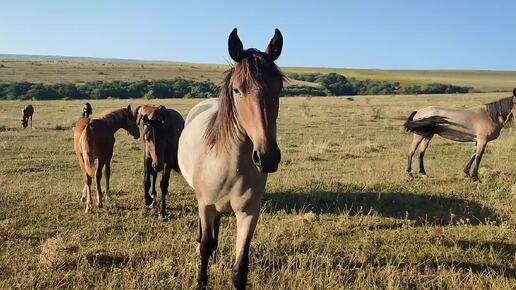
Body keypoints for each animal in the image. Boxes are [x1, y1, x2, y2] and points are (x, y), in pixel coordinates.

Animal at [176, 28, 282, 288]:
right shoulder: (205, 205)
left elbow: (240, 269)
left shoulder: (249, 213)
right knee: (206, 236)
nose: (267, 157)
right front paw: (201, 280)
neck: (229, 166)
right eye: (237, 90)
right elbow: (205, 246)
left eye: (279, 89)